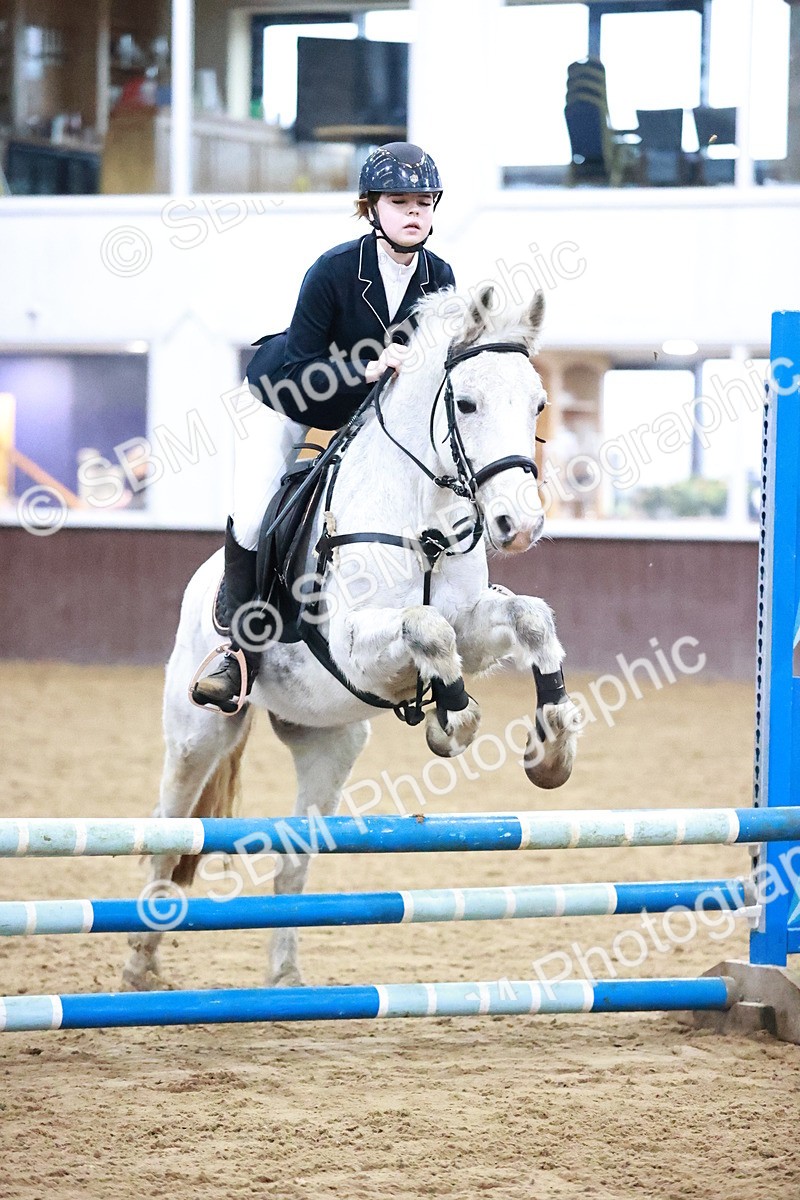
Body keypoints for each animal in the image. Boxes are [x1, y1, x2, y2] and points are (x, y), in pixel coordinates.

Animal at [123, 284, 580, 991]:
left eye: (536, 402)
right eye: (467, 403)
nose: (519, 525)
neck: (422, 518)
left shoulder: (475, 625)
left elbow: (528, 618)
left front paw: (552, 743)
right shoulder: (354, 647)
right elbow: (426, 628)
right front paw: (454, 720)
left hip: (329, 744)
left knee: (292, 859)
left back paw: (285, 978)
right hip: (198, 732)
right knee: (168, 833)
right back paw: (141, 965)